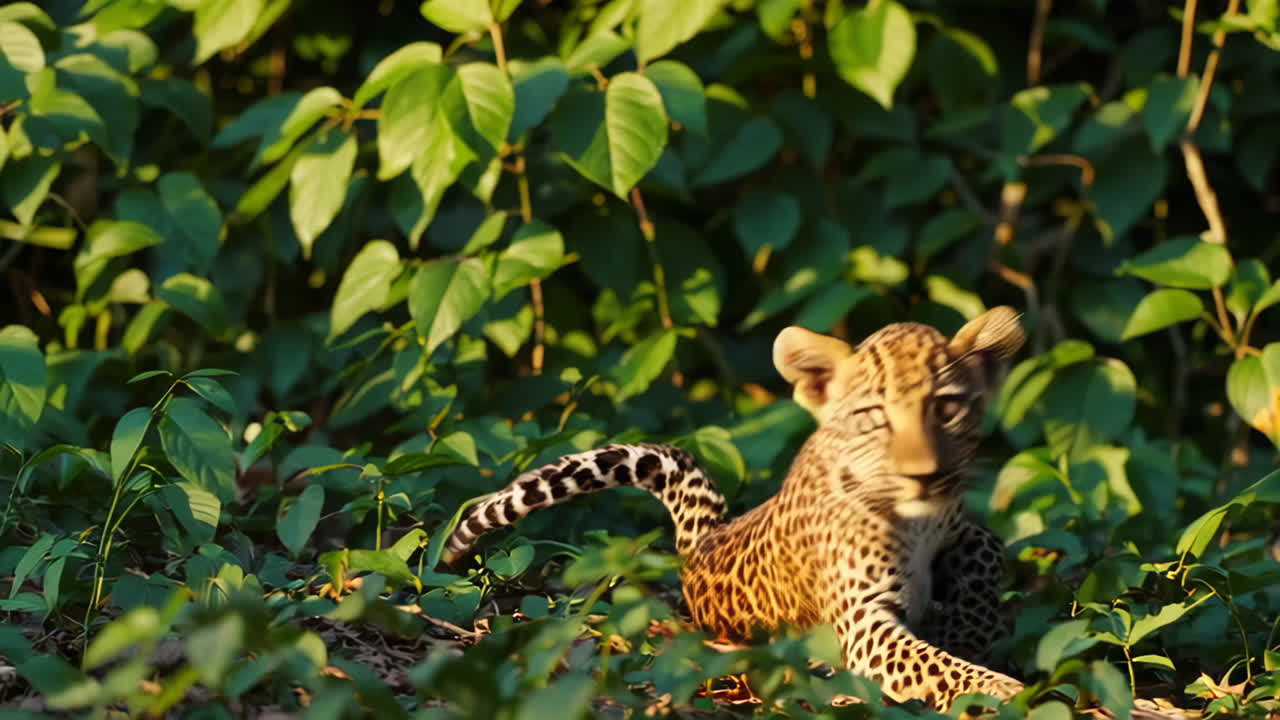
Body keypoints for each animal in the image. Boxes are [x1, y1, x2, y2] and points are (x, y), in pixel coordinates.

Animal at [443, 306, 1028, 709]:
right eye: (873, 415)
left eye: (947, 408)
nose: (923, 475)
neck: (919, 522)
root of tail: (702, 540)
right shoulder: (864, 623)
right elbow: (939, 667)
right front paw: (1003, 689)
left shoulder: (960, 529)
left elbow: (988, 551)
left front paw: (966, 635)